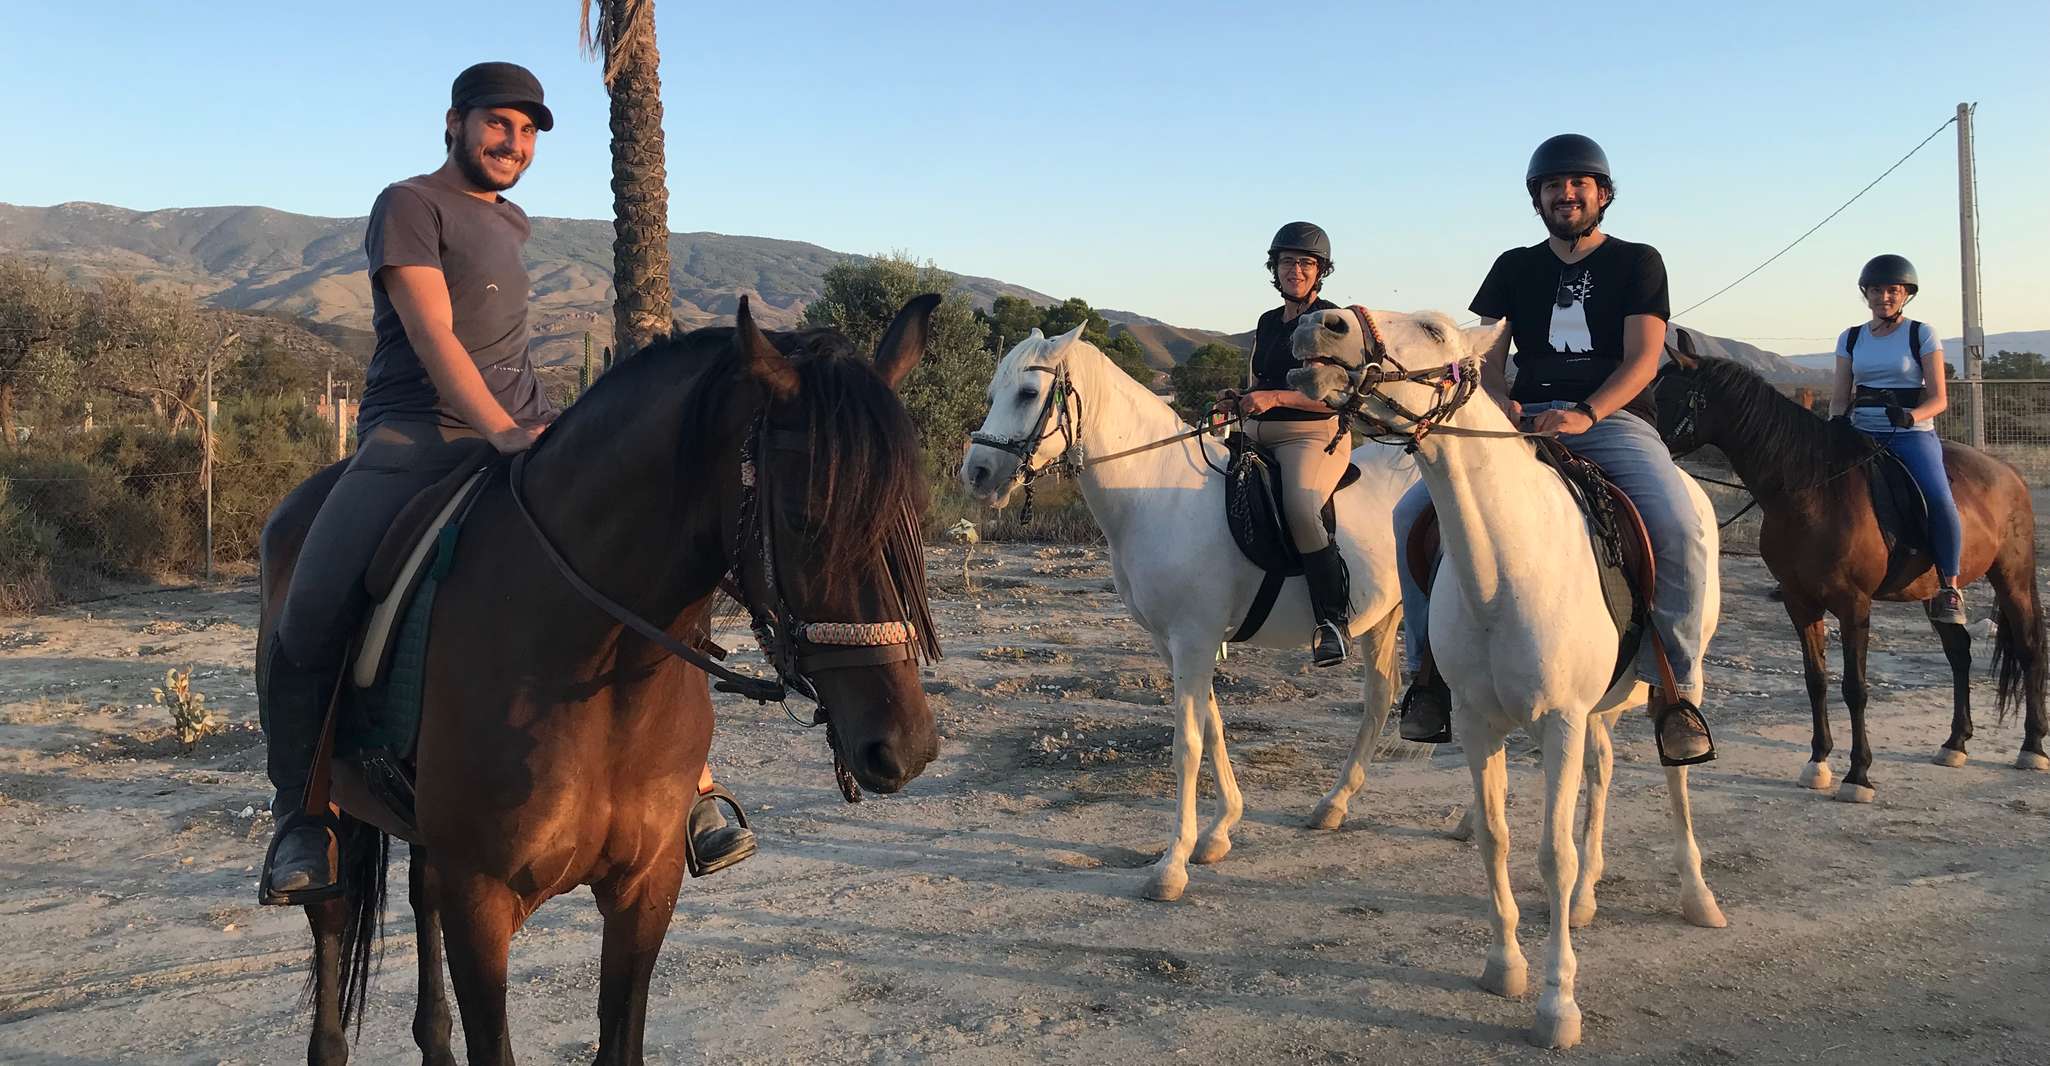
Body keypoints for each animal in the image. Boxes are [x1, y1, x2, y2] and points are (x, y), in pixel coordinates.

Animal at [258, 295, 951, 1057]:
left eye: (912, 515)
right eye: (804, 519)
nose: (906, 747)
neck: (594, 672)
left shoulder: (646, 890)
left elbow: (621, 1039)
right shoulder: (481, 899)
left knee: (418, 902)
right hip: (334, 807)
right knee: (332, 912)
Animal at [963, 321, 1426, 897]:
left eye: (1028, 393)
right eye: (990, 395)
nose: (976, 473)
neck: (1156, 493)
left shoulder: (1193, 639)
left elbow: (1186, 742)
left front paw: (1172, 866)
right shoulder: (1175, 643)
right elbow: (1212, 725)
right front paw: (1220, 831)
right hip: (1383, 617)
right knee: (1381, 698)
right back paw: (1335, 805)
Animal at [1295, 307, 1730, 1049]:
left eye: (1435, 332)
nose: (1323, 326)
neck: (1504, 564)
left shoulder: (1559, 718)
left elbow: (1551, 854)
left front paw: (1558, 1005)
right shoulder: (1479, 722)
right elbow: (1497, 836)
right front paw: (1505, 966)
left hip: (1674, 684)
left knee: (1675, 777)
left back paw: (1696, 896)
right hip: (1592, 713)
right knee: (1602, 771)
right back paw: (1587, 897)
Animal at [1656, 350, 2041, 799]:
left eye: (1668, 396)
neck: (1812, 491)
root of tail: (2007, 472)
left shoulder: (1853, 603)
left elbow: (1855, 688)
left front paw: (1858, 775)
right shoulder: (1799, 602)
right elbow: (1817, 680)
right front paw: (1818, 763)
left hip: (2012, 578)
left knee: (2029, 648)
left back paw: (2033, 747)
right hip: (1936, 593)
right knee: (1959, 652)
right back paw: (1955, 743)